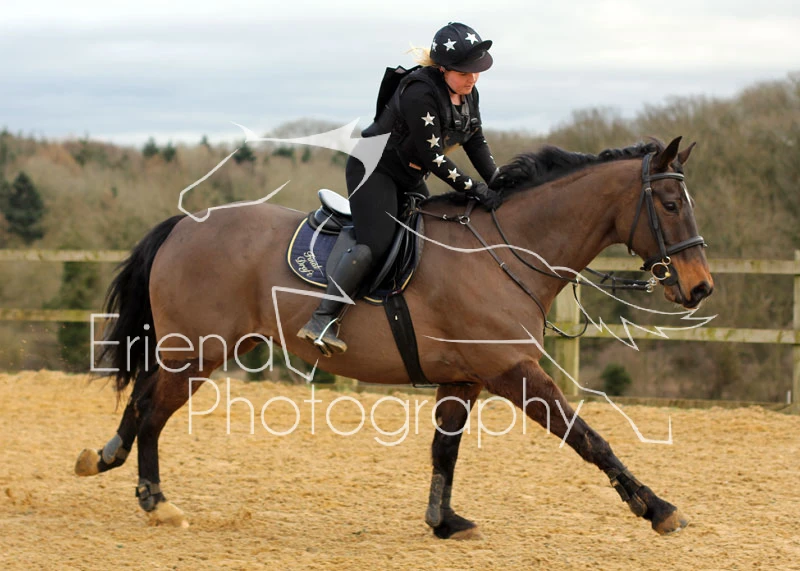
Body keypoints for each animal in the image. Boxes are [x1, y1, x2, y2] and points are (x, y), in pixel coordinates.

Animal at [75, 136, 713, 538]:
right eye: (671, 203)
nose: (700, 287)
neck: (505, 250)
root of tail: (185, 224)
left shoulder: (465, 378)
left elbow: (444, 449)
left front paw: (444, 522)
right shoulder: (514, 373)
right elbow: (589, 439)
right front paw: (657, 508)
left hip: (197, 351)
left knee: (143, 400)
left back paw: (105, 458)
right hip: (197, 353)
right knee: (153, 410)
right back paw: (156, 502)